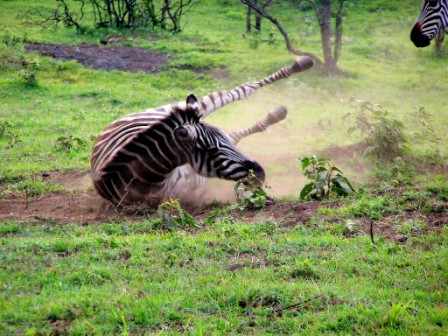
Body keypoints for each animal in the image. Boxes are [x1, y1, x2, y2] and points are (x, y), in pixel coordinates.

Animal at [90, 56, 316, 206]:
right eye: (212, 151)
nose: (260, 173)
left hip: (190, 106)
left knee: (243, 90)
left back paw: (301, 64)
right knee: (240, 121)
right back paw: (276, 114)